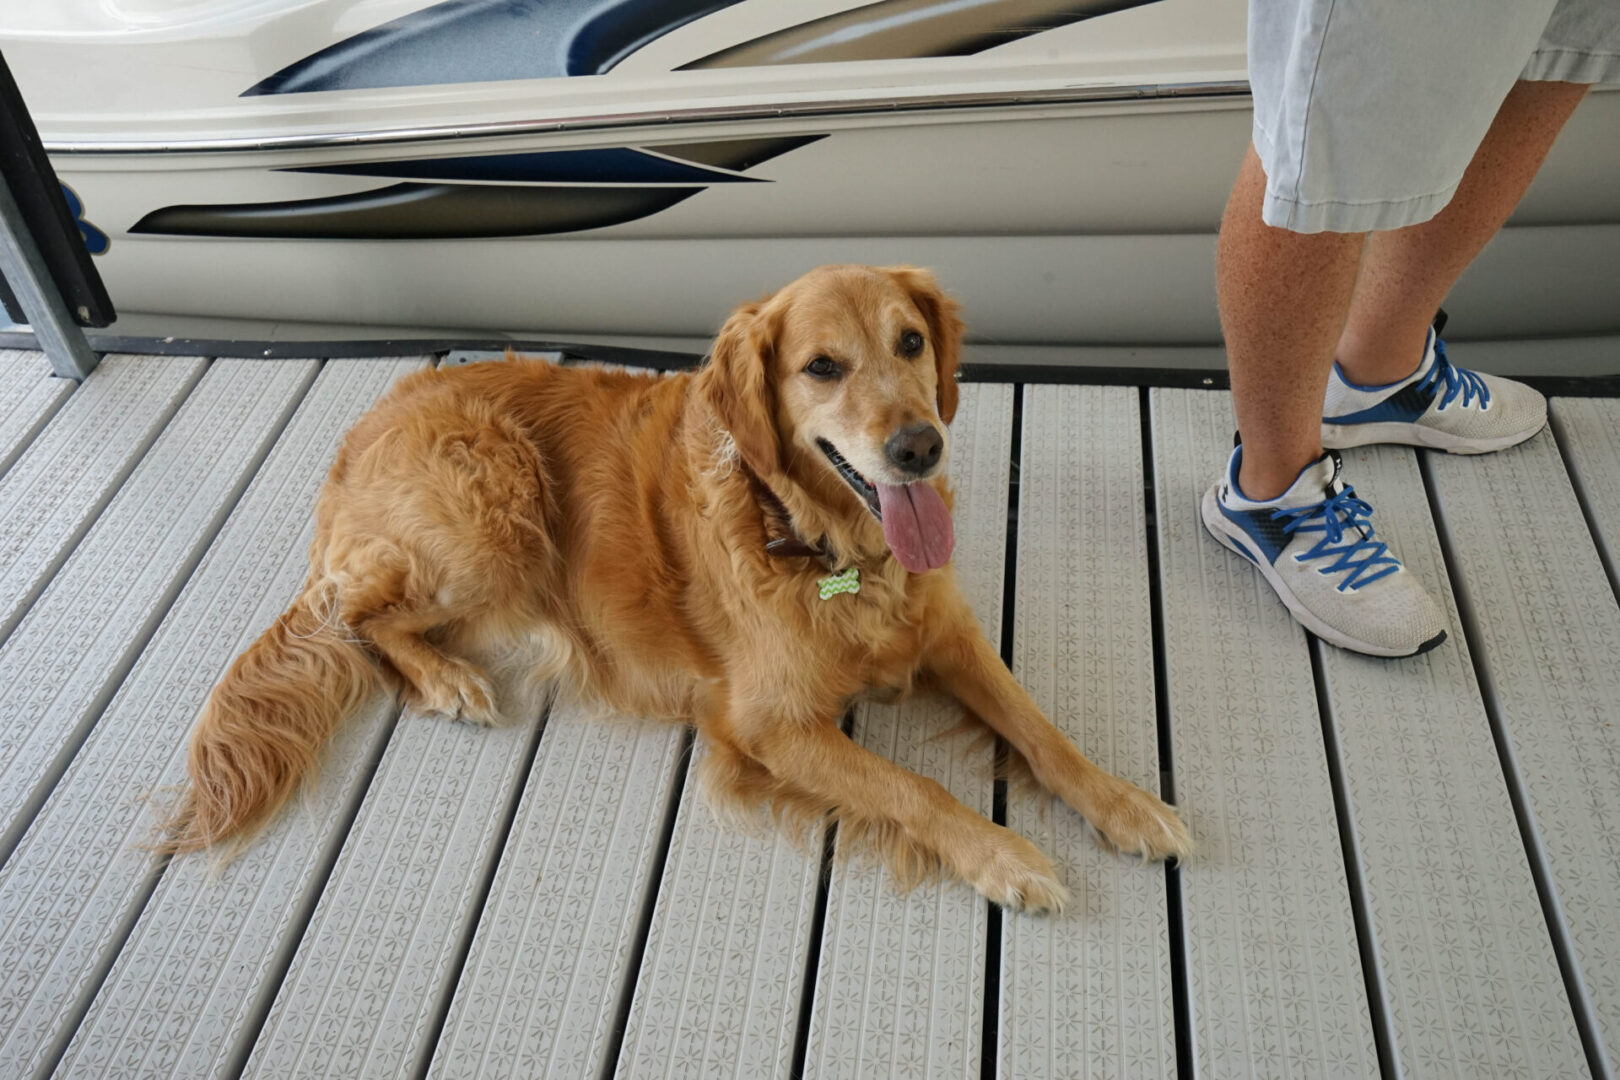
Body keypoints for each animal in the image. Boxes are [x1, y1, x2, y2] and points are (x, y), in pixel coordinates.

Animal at [167, 263, 1192, 913]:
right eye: (822, 366)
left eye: (910, 342)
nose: (919, 447)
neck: (824, 549)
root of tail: (357, 437)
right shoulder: (770, 726)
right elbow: (915, 789)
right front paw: (1005, 856)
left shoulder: (947, 634)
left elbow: (1041, 730)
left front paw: (1127, 803)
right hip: (495, 512)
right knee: (357, 613)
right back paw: (448, 680)